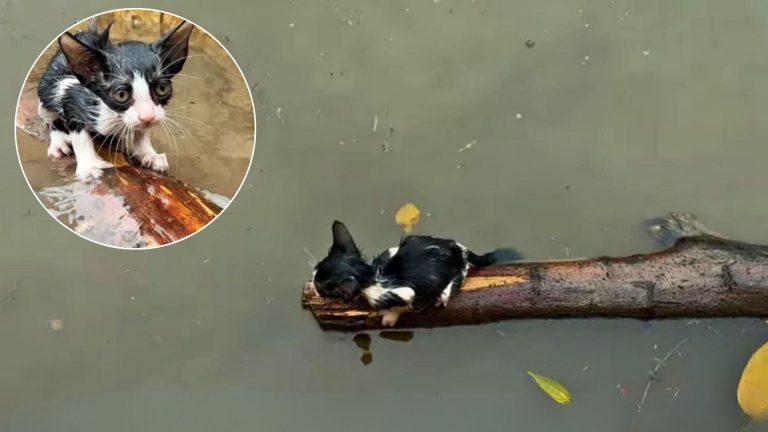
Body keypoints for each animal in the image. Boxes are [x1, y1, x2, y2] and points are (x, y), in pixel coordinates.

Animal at [38, 18, 196, 180]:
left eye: (162, 89)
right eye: (121, 95)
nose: (148, 117)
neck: (114, 115)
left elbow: (141, 132)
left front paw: (149, 154)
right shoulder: (71, 91)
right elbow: (79, 133)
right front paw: (90, 167)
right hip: (47, 87)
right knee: (48, 113)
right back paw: (59, 142)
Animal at [312, 221, 520, 326]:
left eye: (325, 288)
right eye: (316, 269)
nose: (313, 285)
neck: (371, 273)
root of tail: (460, 249)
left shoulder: (399, 293)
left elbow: (402, 303)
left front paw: (388, 318)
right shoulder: (388, 252)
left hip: (453, 276)